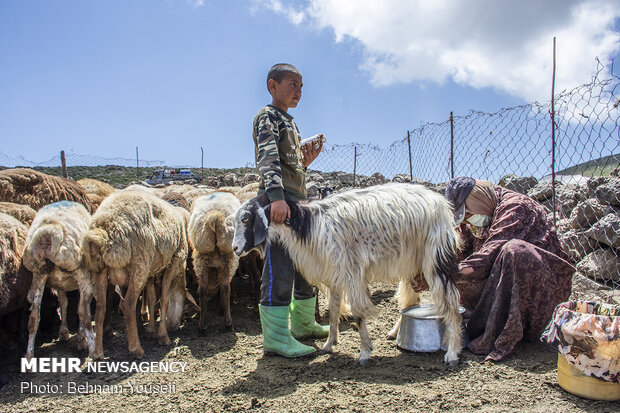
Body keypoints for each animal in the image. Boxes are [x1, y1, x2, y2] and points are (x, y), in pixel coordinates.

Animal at [22, 201, 95, 358]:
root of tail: (49, 232)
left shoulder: (59, 285)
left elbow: (63, 303)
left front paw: (64, 332)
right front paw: (80, 338)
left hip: (39, 274)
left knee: (34, 318)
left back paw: (29, 357)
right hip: (81, 273)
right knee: (84, 313)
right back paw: (93, 350)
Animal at [82, 190, 189, 358]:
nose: (179, 323)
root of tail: (102, 231)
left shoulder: (152, 272)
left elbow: (152, 299)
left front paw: (151, 331)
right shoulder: (173, 261)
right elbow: (164, 299)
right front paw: (163, 336)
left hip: (100, 270)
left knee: (100, 307)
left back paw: (98, 353)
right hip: (139, 264)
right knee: (129, 304)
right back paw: (136, 349)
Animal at [188, 192, 241, 330]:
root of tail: (215, 216)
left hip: (201, 256)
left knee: (203, 289)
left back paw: (202, 325)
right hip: (228, 257)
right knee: (225, 286)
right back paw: (228, 322)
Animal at [230, 183, 462, 364]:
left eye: (246, 219)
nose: (235, 249)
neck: (311, 227)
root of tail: (440, 203)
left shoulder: (352, 273)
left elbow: (358, 314)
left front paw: (365, 352)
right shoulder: (335, 275)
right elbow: (333, 312)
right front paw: (328, 344)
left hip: (435, 260)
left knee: (451, 304)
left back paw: (452, 353)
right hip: (413, 263)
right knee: (412, 301)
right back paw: (396, 332)